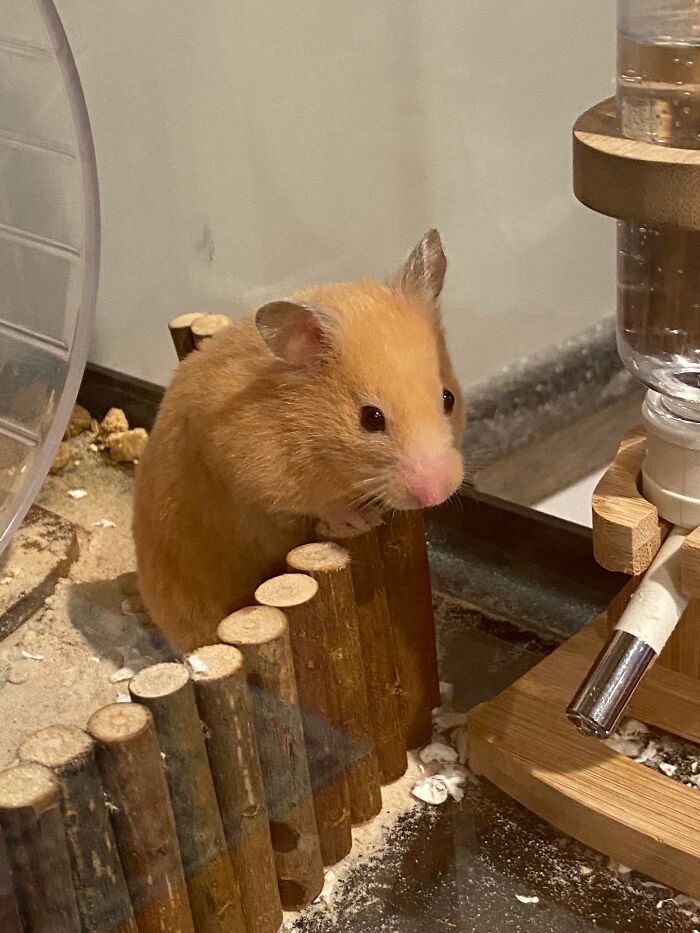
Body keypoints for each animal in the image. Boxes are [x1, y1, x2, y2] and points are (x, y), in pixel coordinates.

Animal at [133, 230, 465, 652]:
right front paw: (358, 520)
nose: (436, 494)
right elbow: (313, 505)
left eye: (448, 398)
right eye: (370, 419)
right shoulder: (252, 473)